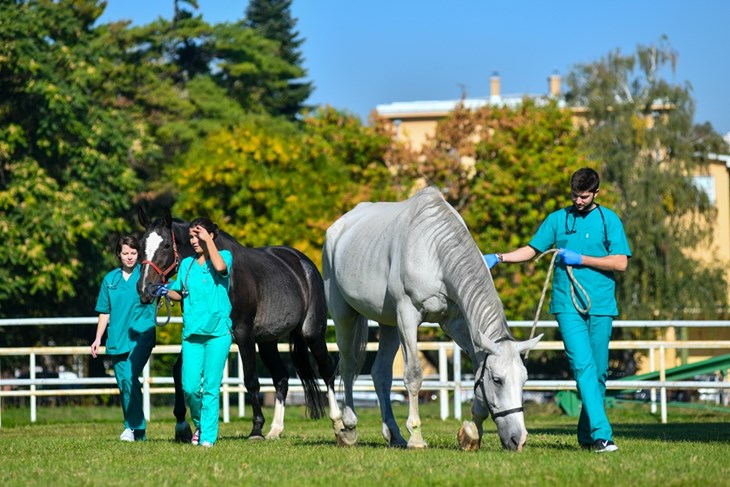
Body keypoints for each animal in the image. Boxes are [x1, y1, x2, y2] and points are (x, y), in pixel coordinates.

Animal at [136, 208, 336, 440]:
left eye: (167, 245)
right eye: (141, 245)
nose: (145, 289)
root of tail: (304, 264)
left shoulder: (243, 334)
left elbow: (251, 380)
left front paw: (256, 428)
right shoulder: (196, 335)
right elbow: (179, 372)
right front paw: (182, 426)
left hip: (313, 333)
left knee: (327, 371)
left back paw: (338, 422)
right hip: (268, 341)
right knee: (281, 378)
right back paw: (275, 430)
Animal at [322, 188, 540, 454]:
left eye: (524, 379)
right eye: (497, 380)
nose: (518, 439)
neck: (433, 249)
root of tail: (337, 227)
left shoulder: (456, 323)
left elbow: (476, 366)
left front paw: (472, 432)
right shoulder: (407, 315)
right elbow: (414, 374)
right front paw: (416, 436)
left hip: (389, 324)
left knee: (380, 374)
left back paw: (394, 434)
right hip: (344, 315)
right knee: (347, 366)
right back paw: (347, 427)